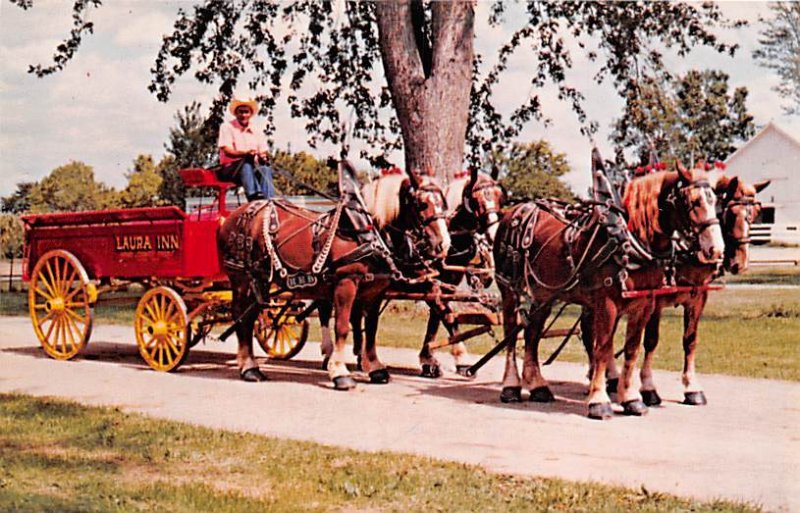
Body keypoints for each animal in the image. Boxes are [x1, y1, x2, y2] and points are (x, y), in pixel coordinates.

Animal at [219, 162, 450, 386]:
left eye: (443, 203)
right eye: (421, 204)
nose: (443, 244)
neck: (365, 232)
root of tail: (235, 215)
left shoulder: (376, 291)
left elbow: (371, 329)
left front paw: (375, 368)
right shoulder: (345, 284)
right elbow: (342, 327)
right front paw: (340, 372)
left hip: (259, 280)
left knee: (250, 316)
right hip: (240, 277)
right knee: (241, 316)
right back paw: (249, 367)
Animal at [494, 164, 724, 420]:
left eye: (716, 201)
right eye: (693, 202)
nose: (716, 250)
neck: (629, 241)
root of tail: (515, 211)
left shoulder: (645, 303)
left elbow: (633, 349)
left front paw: (631, 398)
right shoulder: (608, 303)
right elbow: (603, 348)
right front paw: (599, 401)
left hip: (543, 294)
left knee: (532, 333)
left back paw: (537, 386)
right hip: (509, 289)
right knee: (511, 334)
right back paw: (511, 386)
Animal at [596, 174, 772, 406]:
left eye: (755, 214)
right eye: (729, 213)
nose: (739, 263)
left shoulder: (698, 297)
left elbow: (690, 341)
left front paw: (692, 387)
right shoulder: (655, 300)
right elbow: (651, 341)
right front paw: (648, 387)